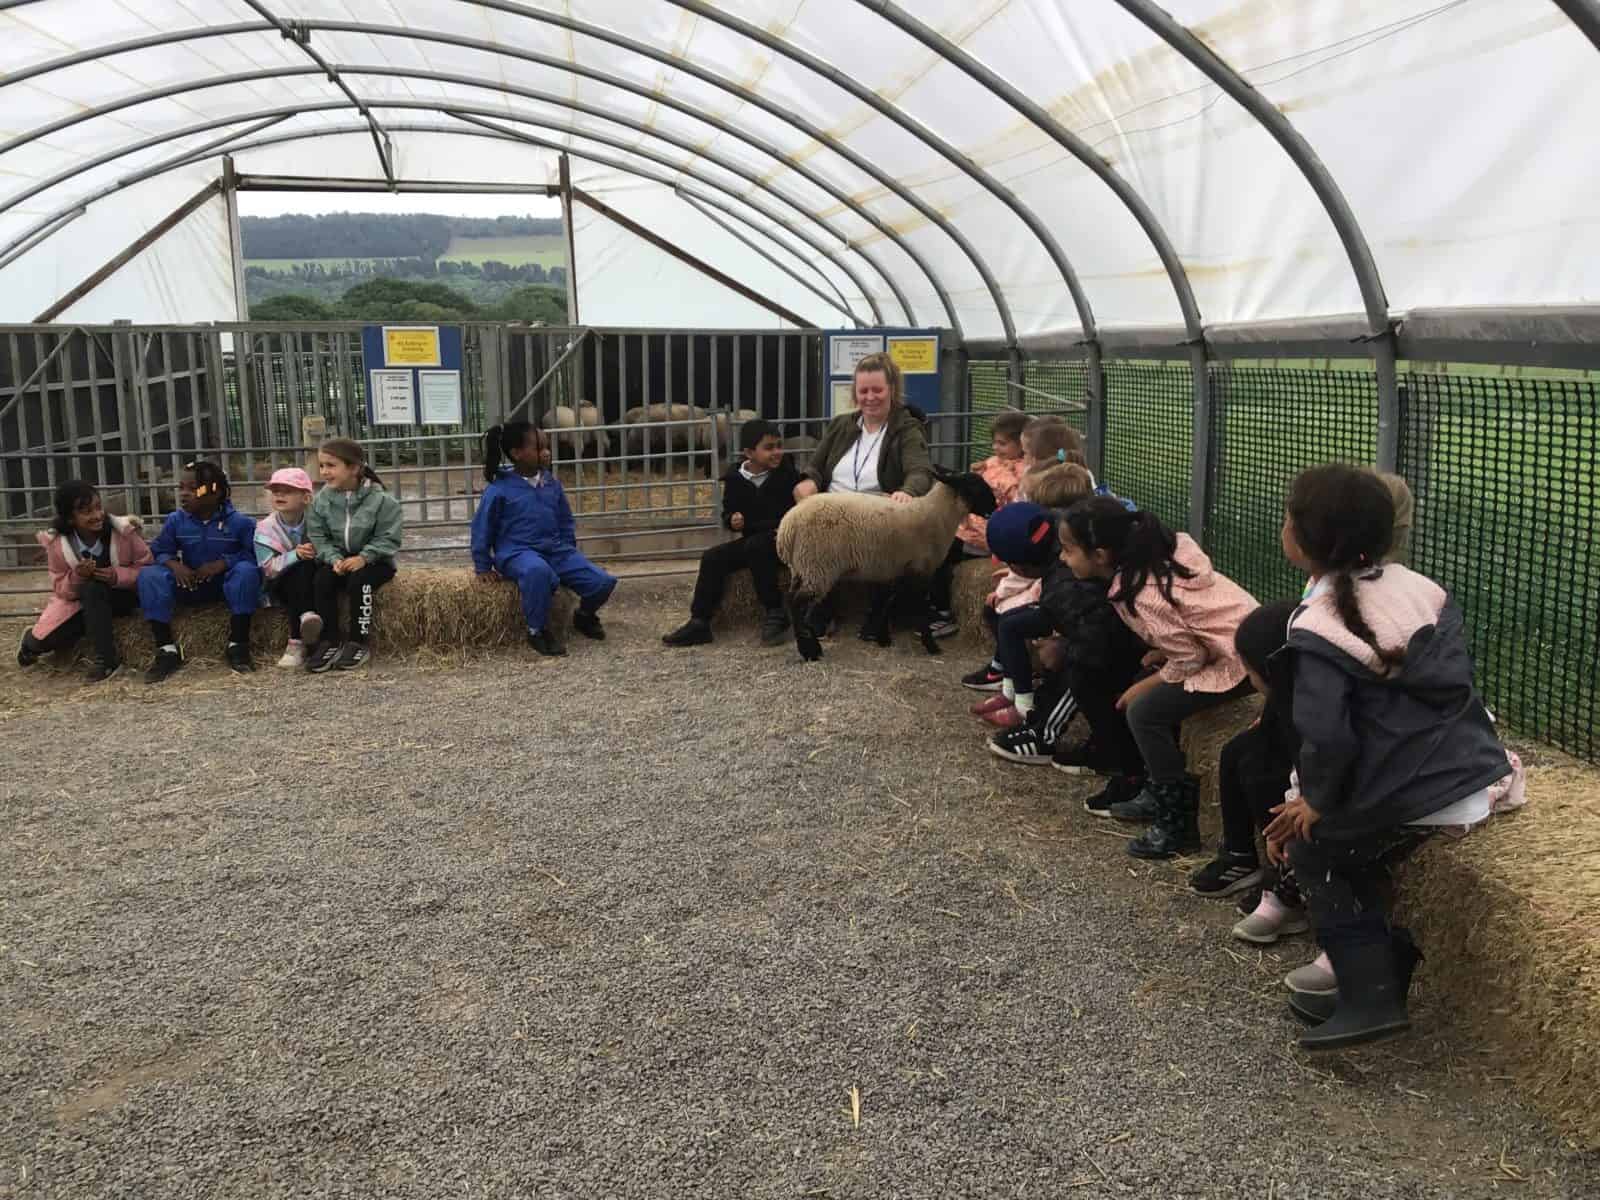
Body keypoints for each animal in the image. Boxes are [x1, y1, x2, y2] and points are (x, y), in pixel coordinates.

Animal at [776, 465, 998, 661]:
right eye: (975, 486)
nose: (996, 506)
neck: (935, 516)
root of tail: (787, 527)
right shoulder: (919, 570)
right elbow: (919, 609)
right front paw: (931, 646)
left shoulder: (897, 568)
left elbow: (888, 602)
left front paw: (882, 638)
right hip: (817, 566)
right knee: (795, 603)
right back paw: (809, 650)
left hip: (802, 567)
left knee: (791, 599)